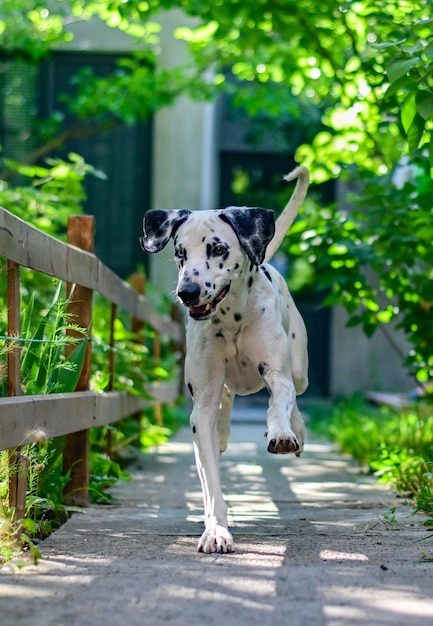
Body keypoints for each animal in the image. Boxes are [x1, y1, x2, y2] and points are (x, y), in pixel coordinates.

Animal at [140, 166, 308, 552]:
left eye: (218, 248)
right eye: (180, 252)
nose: (186, 292)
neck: (232, 319)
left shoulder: (277, 373)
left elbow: (278, 399)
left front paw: (281, 431)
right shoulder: (201, 408)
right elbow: (211, 482)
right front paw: (216, 530)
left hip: (299, 368)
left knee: (295, 394)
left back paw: (295, 430)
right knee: (225, 412)